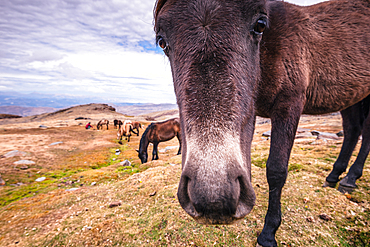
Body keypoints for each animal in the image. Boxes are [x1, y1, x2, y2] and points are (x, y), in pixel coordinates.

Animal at [153, 0, 370, 245]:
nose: (213, 198)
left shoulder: (290, 103)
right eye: (162, 41)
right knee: (353, 130)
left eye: (260, 25)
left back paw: (350, 178)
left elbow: (276, 170)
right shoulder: (251, 112)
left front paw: (268, 232)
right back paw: (335, 177)